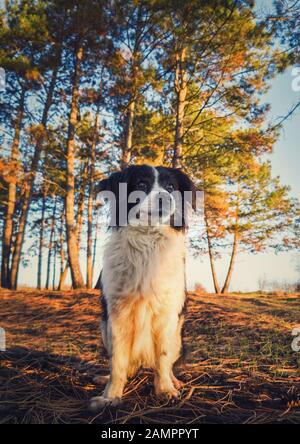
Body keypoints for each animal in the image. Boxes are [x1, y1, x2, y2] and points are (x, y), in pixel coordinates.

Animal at [89, 163, 197, 410]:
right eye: (141, 185)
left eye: (170, 187)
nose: (165, 198)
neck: (148, 239)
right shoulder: (117, 315)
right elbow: (118, 362)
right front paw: (111, 396)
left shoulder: (167, 315)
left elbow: (163, 358)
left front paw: (164, 389)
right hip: (103, 328)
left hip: (179, 335)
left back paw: (174, 381)